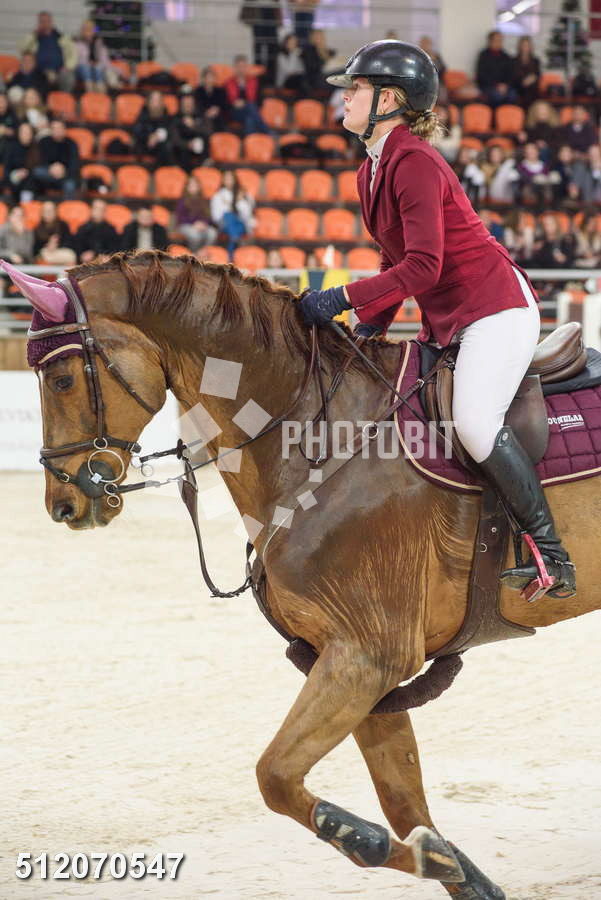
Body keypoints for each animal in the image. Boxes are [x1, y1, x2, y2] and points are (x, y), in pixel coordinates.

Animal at [7, 250, 601, 899]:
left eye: (62, 380)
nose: (65, 505)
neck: (319, 440)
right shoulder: (351, 659)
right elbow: (405, 806)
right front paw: (450, 867)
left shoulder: (368, 655)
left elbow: (276, 776)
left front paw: (363, 838)